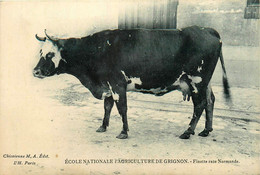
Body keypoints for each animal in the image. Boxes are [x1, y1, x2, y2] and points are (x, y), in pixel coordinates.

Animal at [33, 26, 231, 140]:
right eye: (40, 52)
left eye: (50, 54)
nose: (35, 71)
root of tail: (207, 30)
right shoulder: (107, 85)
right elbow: (107, 106)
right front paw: (103, 127)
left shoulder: (117, 84)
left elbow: (121, 108)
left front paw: (123, 132)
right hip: (204, 82)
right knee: (210, 101)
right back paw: (206, 130)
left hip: (196, 80)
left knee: (200, 104)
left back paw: (188, 132)